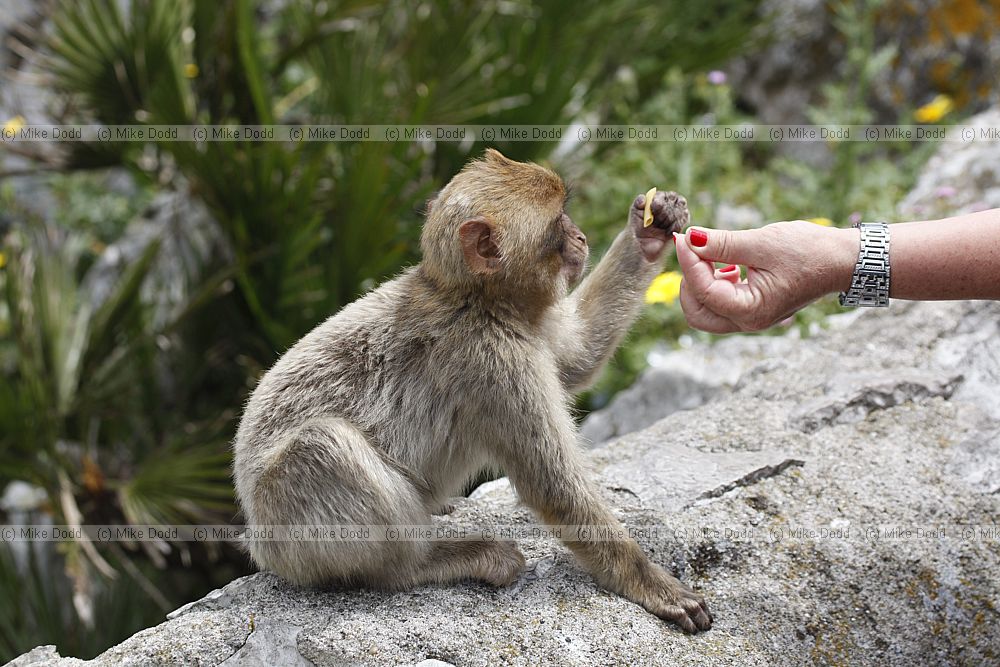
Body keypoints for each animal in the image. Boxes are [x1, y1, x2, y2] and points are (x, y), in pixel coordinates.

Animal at [233, 149, 712, 633]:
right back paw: (429, 561)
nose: (580, 235)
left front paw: (651, 227)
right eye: (558, 223)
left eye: (567, 215)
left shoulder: (527, 325)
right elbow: (555, 487)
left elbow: (579, 356)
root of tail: (255, 536)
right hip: (290, 534)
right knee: (322, 445)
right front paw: (653, 585)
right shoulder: (494, 362)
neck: (475, 299)